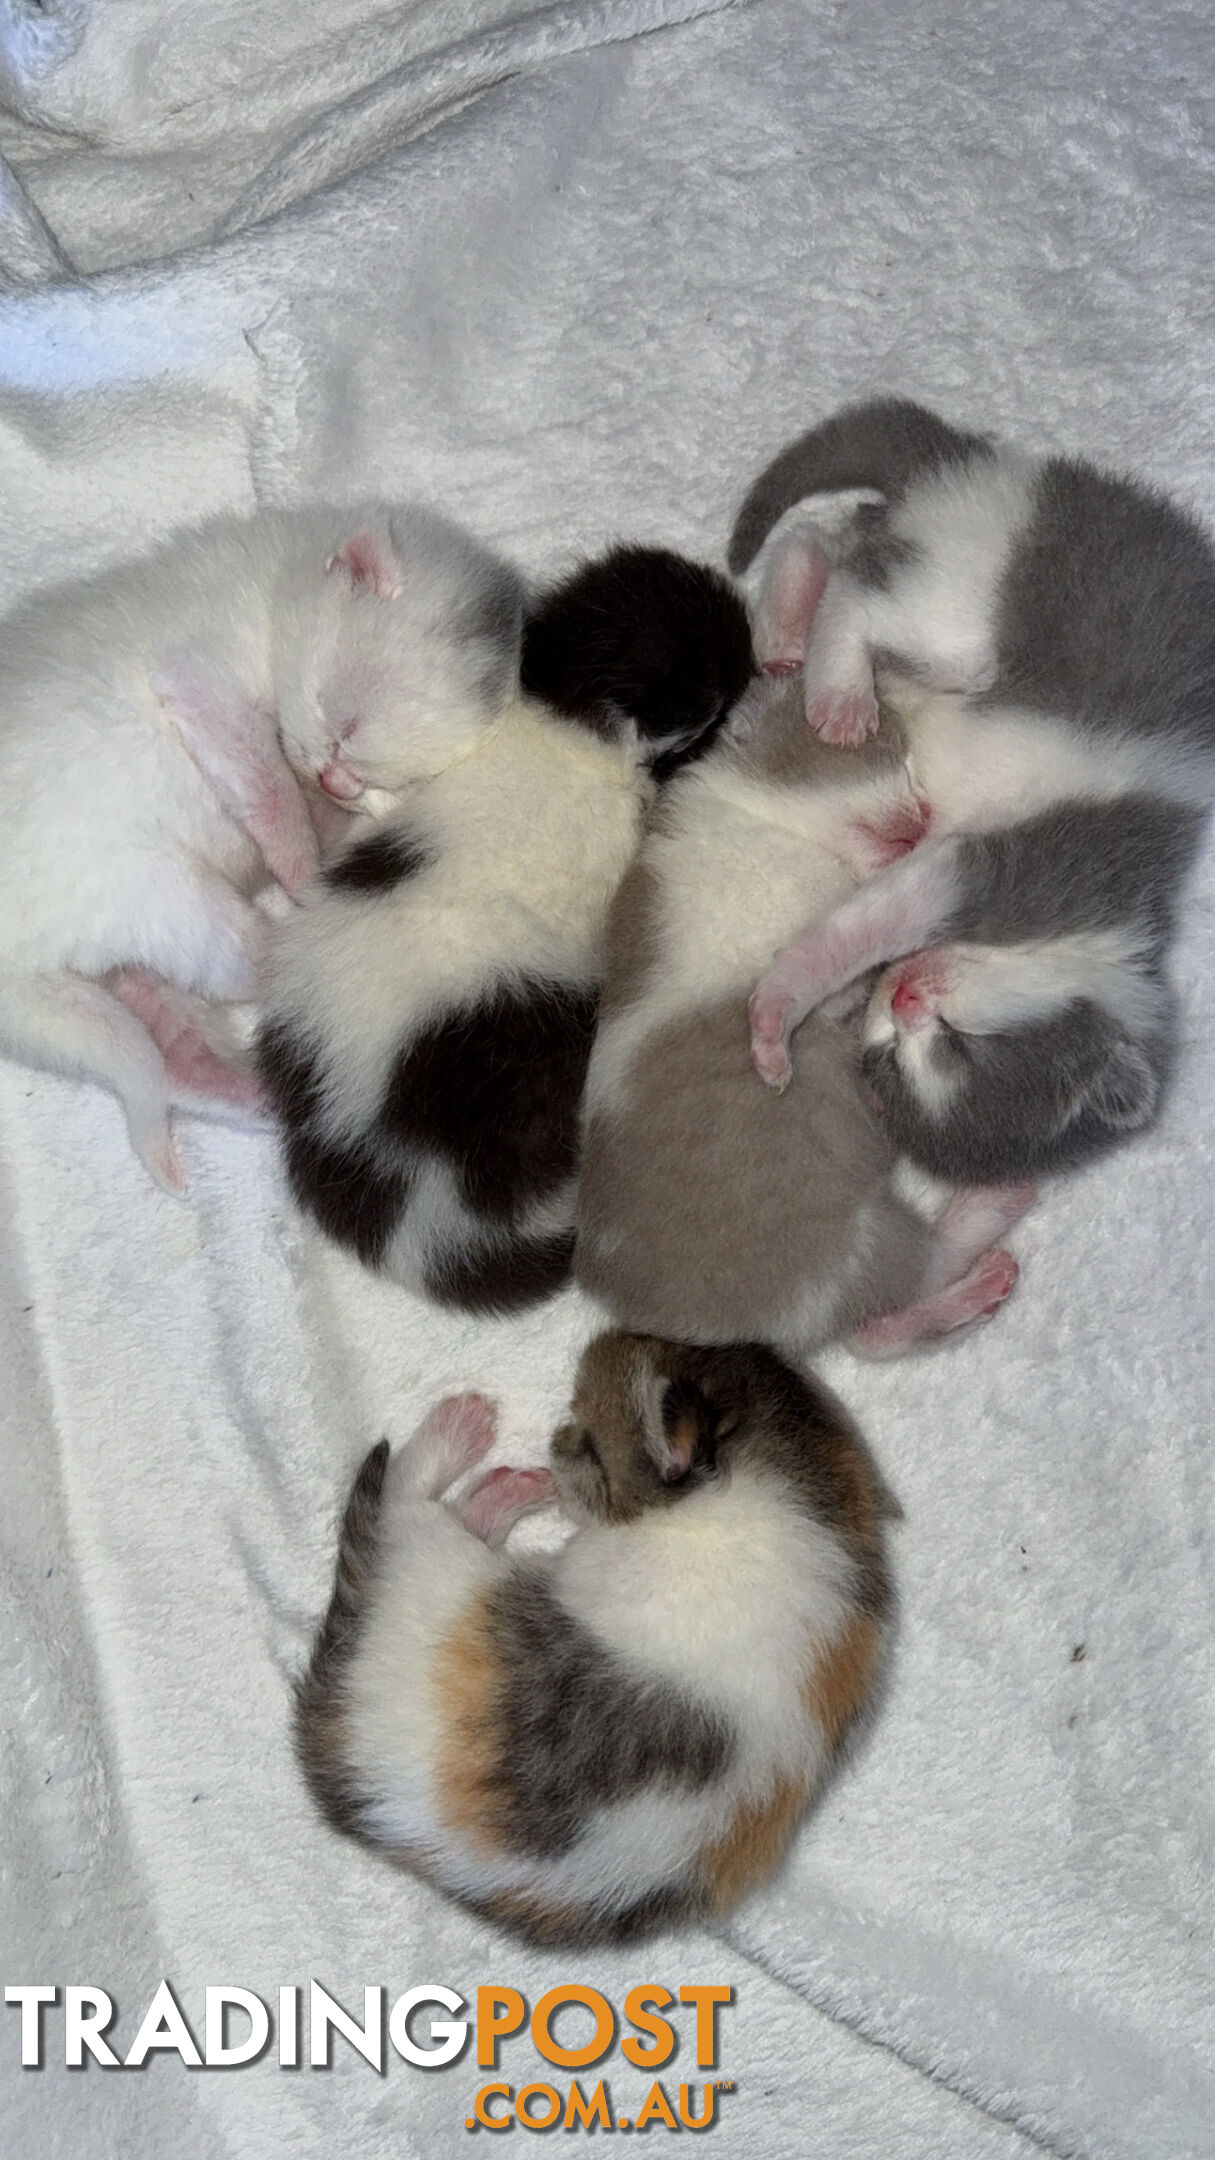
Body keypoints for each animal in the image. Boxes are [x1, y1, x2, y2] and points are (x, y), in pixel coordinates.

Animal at [0, 501, 518, 1200]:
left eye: (385, 778)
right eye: (341, 725)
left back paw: (268, 1098)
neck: (272, 591)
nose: (339, 782)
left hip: (109, 969)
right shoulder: (200, 674)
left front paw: (328, 834)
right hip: (159, 896)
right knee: (251, 963)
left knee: (163, 1058)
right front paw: (300, 865)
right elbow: (269, 785)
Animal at [296, 1321, 895, 1952]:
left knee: (403, 1501)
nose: (555, 1441)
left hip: (433, 1573)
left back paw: (463, 1432)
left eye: (587, 1440)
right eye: (682, 1338)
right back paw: (506, 1487)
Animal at [726, 406, 1210, 1183]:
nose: (906, 998)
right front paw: (778, 1010)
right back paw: (836, 685)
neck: (1104, 934)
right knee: (862, 595)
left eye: (895, 1056)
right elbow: (866, 925)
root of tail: (979, 460)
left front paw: (828, 1000)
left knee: (844, 539)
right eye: (961, 1044)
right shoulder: (1031, 868)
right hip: (974, 598)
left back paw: (789, 621)